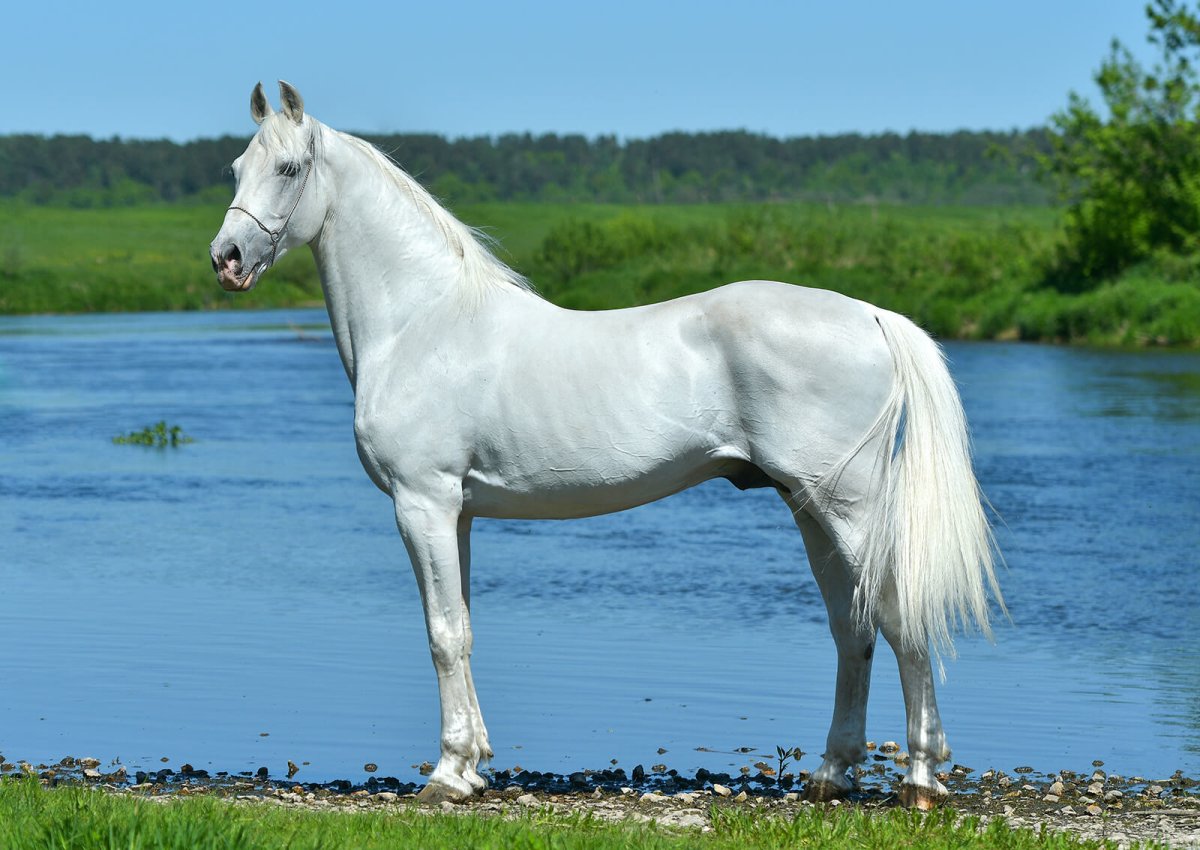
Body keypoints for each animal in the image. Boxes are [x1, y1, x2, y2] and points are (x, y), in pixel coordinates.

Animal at [209, 81, 1002, 809]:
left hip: (849, 510)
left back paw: (921, 781)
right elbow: (463, 628)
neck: (423, 323)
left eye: (289, 169)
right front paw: (474, 765)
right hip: (809, 509)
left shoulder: (421, 504)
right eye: (236, 167)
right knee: (852, 628)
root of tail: (870, 315)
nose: (227, 258)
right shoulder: (456, 514)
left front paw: (447, 776)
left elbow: (441, 634)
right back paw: (832, 775)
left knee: (897, 616)